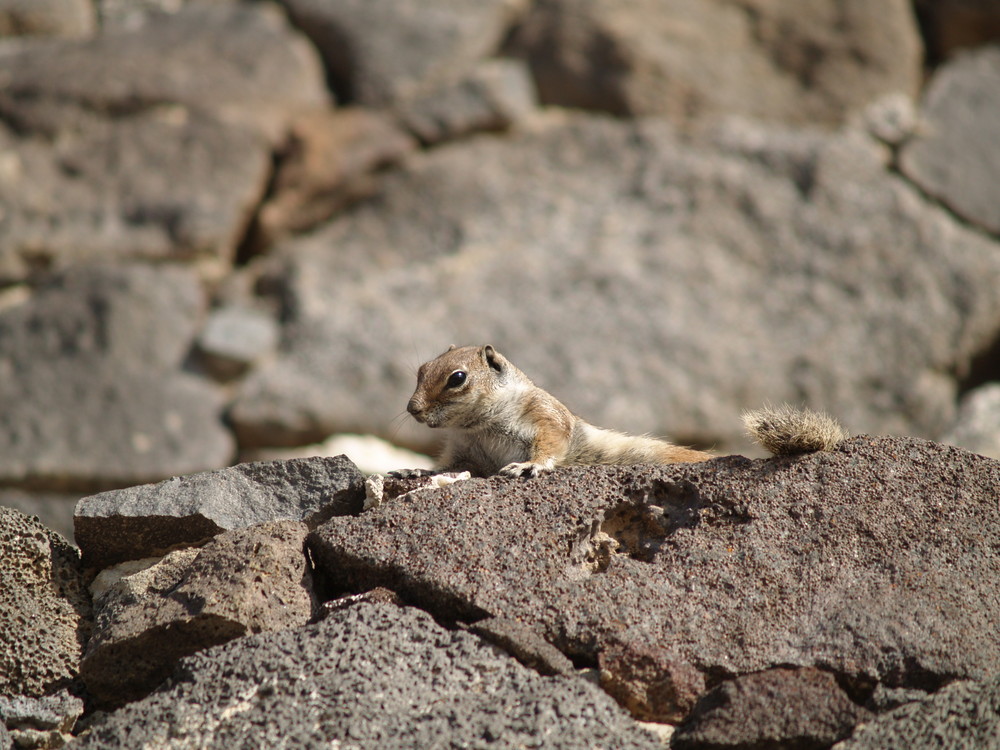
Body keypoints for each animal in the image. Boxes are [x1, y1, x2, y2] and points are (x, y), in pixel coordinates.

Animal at [398, 346, 844, 478]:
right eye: (420, 370)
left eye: (457, 378)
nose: (412, 408)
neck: (479, 426)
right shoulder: (463, 449)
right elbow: (449, 467)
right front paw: (415, 471)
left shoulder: (544, 416)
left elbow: (550, 443)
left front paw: (531, 466)